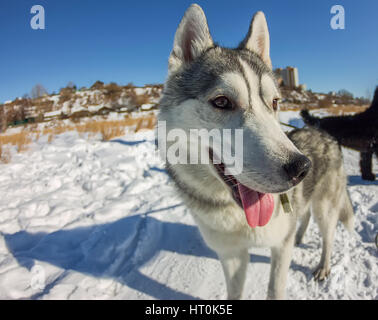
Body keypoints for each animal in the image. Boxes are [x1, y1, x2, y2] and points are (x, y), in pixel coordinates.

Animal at [159, 4, 354, 300]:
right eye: (222, 102)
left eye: (274, 102)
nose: (301, 168)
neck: (235, 214)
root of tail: (322, 130)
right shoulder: (231, 254)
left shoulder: (279, 247)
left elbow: (275, 288)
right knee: (304, 215)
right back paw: (300, 235)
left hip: (326, 207)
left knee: (327, 235)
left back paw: (323, 266)